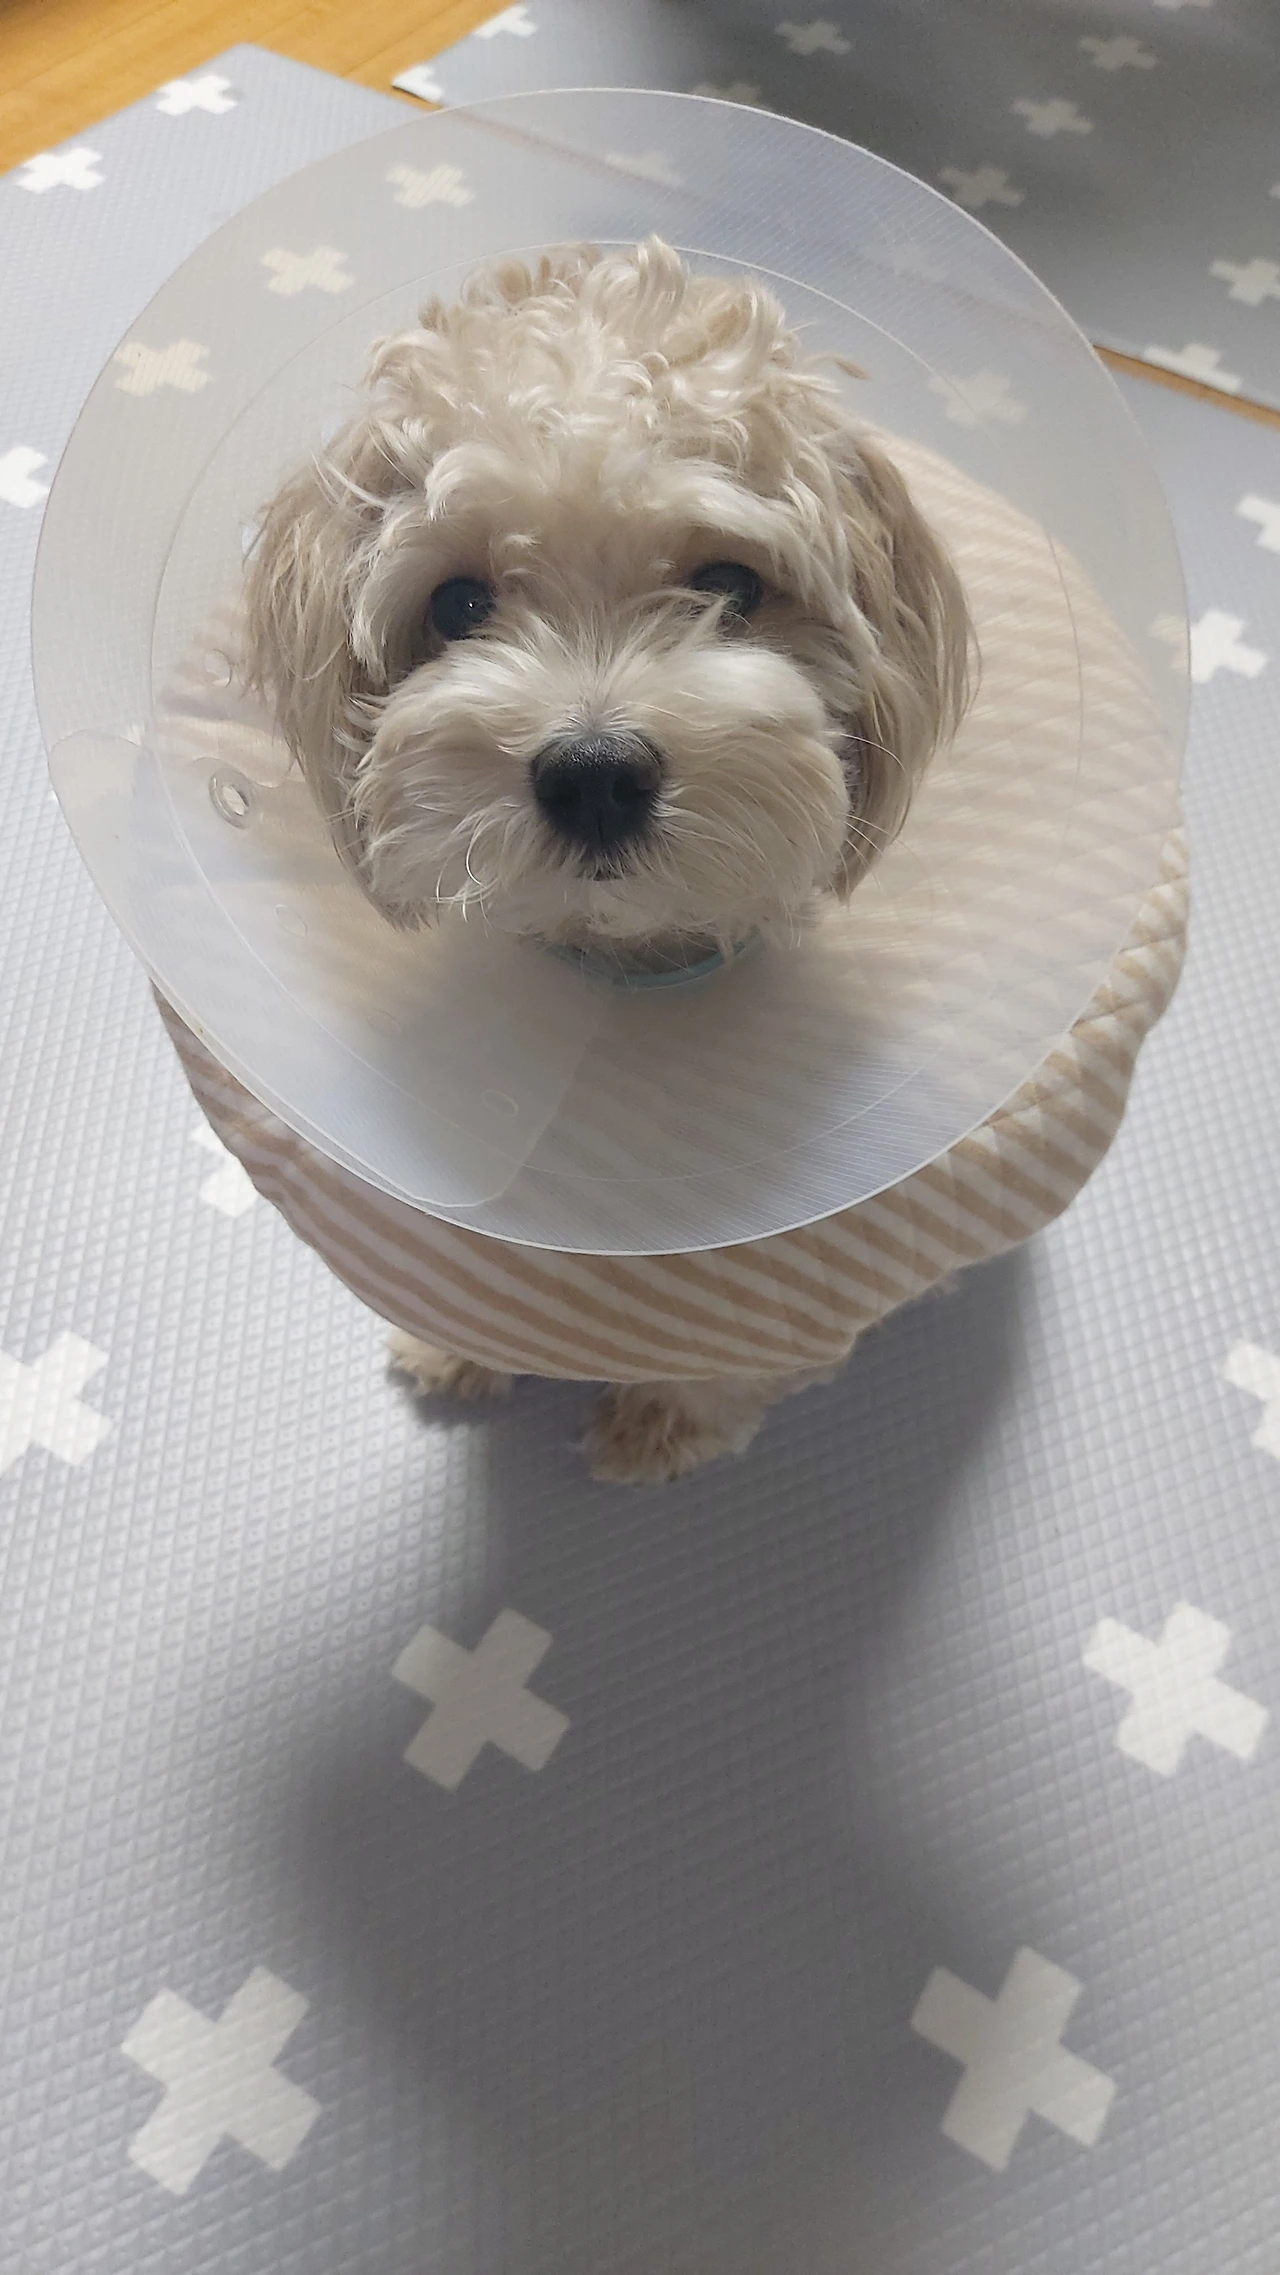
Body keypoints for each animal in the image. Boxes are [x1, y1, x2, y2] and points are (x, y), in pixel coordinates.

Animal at [244, 237, 972, 1481]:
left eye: (729, 585)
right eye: (456, 603)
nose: (592, 772)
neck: (628, 964)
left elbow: (737, 1339)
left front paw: (663, 1419)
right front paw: (456, 1349)